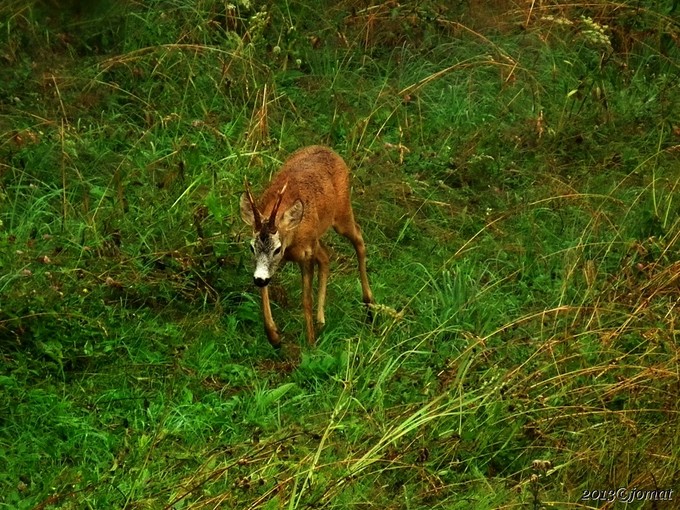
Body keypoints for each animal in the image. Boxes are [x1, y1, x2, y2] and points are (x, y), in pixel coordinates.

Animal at [239, 145, 374, 348]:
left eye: (277, 248)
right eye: (251, 247)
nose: (259, 279)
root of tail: (328, 149)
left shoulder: (306, 254)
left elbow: (306, 299)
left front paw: (310, 344)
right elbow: (265, 290)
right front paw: (274, 337)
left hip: (341, 212)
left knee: (358, 237)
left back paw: (369, 306)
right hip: (318, 237)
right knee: (326, 256)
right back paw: (321, 321)